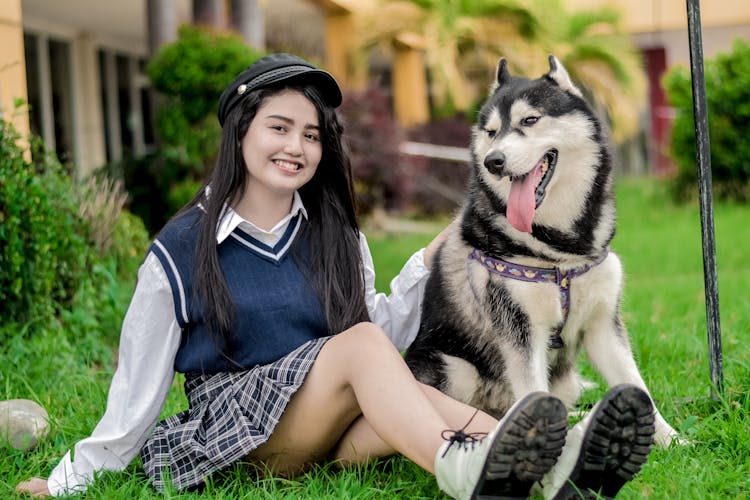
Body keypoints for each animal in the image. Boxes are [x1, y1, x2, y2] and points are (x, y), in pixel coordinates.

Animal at [406, 56, 680, 448]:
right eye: (491, 132)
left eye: (529, 120)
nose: (493, 161)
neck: (561, 251)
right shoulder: (520, 332)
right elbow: (533, 392)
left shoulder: (603, 325)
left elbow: (636, 385)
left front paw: (672, 441)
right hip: (457, 368)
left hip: (566, 379)